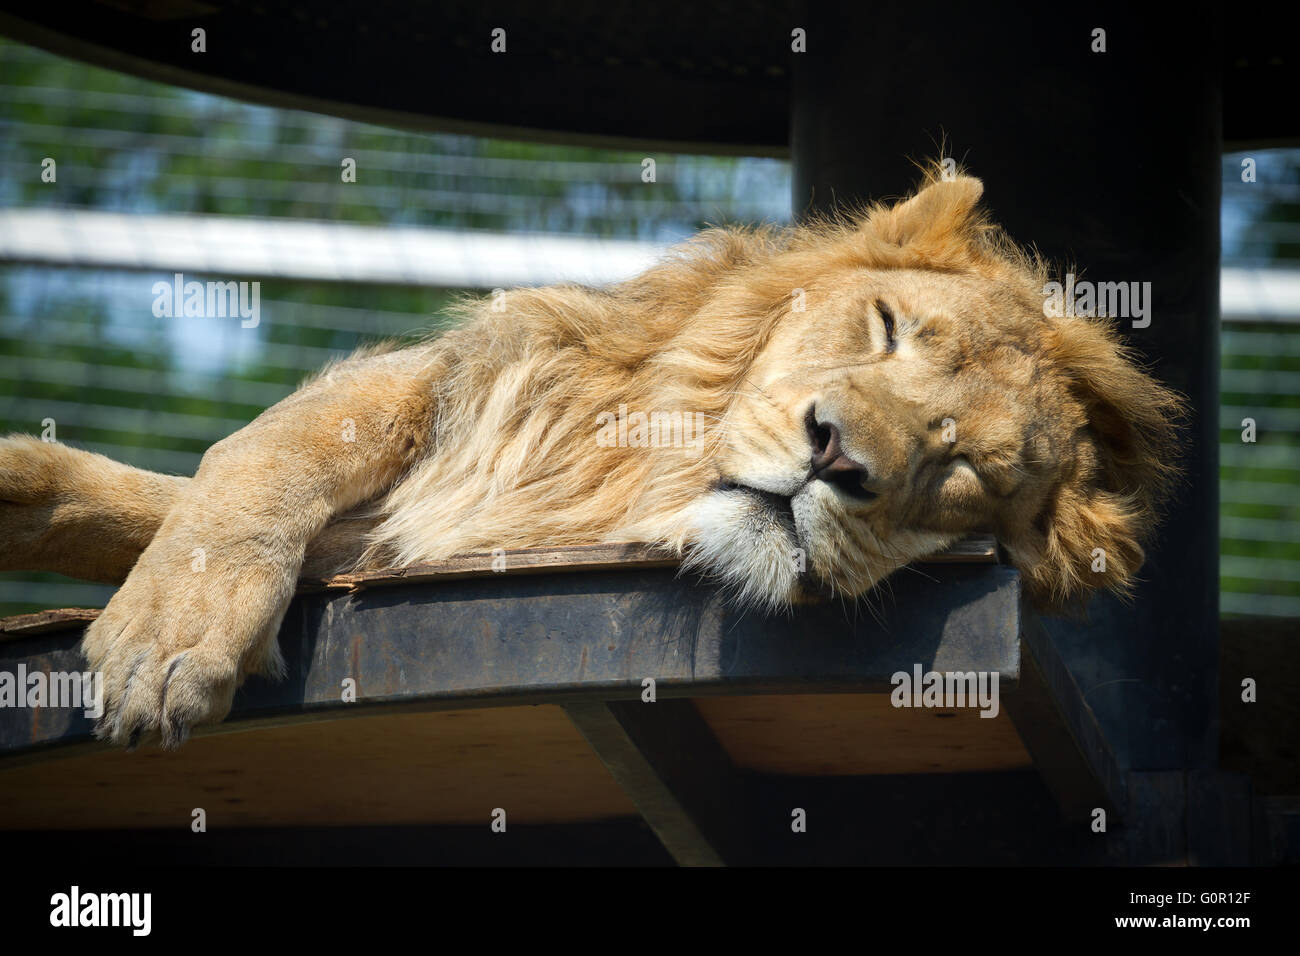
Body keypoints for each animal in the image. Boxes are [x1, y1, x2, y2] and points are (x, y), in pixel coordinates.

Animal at [0, 170, 1180, 749]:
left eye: (965, 467)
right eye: (888, 328)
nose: (836, 457)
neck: (639, 486)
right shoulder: (459, 393)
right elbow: (253, 460)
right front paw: (165, 629)